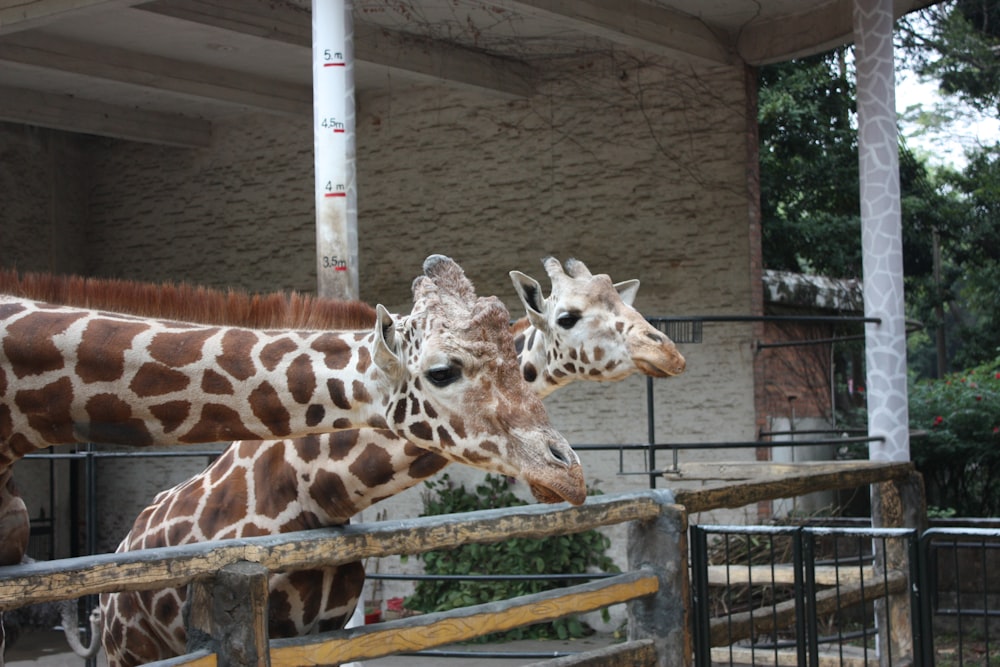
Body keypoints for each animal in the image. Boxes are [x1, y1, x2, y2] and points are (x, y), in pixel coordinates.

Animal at [94, 258, 684, 664]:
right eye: (568, 317)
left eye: (628, 306)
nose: (669, 350)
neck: (311, 490)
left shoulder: (325, 632)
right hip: (131, 649)